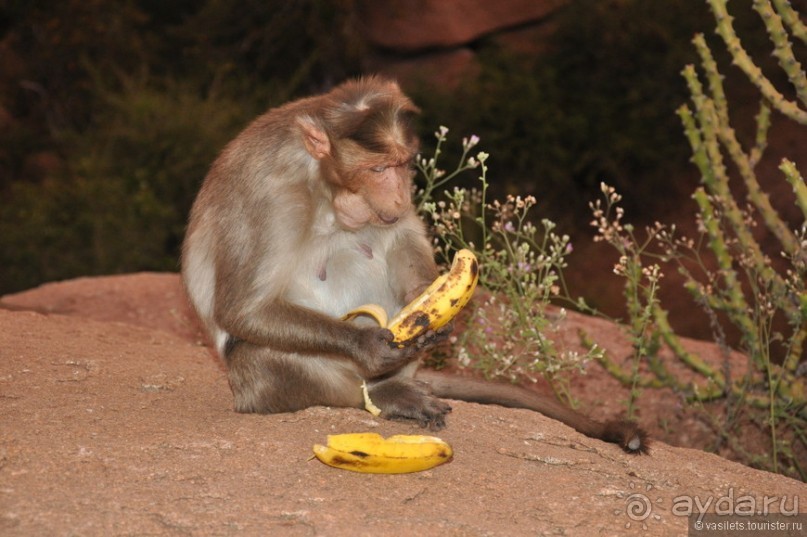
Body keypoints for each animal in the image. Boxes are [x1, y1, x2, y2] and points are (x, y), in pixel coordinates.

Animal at [180, 75, 648, 452]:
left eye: (403, 165)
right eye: (377, 169)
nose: (398, 194)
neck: (324, 186)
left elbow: (402, 234)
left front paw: (427, 302)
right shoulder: (269, 192)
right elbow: (244, 308)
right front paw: (368, 346)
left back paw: (395, 383)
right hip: (305, 380)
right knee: (260, 358)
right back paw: (382, 392)